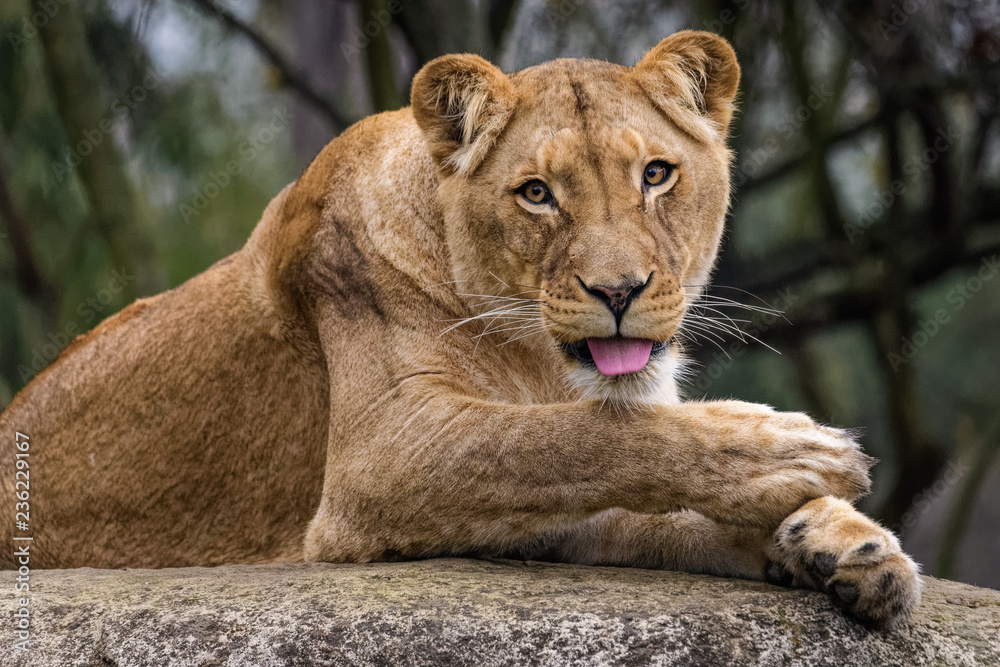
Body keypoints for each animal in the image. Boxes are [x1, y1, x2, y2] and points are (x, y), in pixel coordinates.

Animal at [0, 31, 921, 628]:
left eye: (657, 174)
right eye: (537, 193)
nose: (619, 290)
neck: (542, 361)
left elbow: (625, 469)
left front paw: (845, 545)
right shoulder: (378, 461)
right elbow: (575, 439)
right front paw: (796, 453)